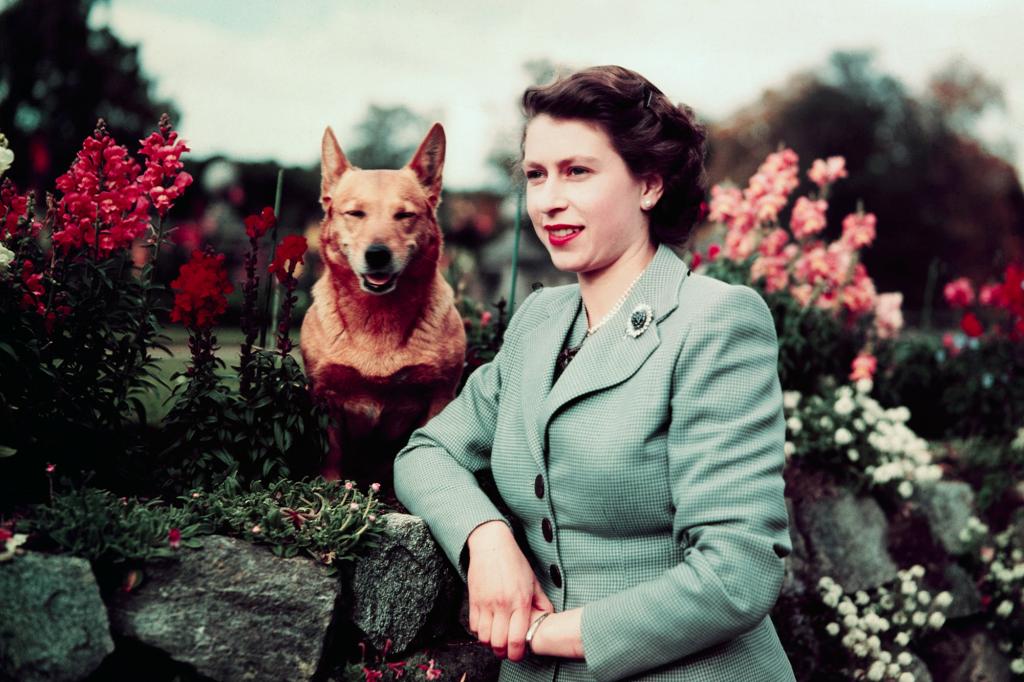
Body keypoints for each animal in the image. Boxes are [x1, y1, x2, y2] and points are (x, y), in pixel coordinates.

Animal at [299, 120, 468, 483]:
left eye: (404, 215)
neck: (378, 318)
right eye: (355, 213)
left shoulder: (439, 396)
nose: (377, 254)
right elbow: (332, 456)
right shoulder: (325, 396)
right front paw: (329, 490)